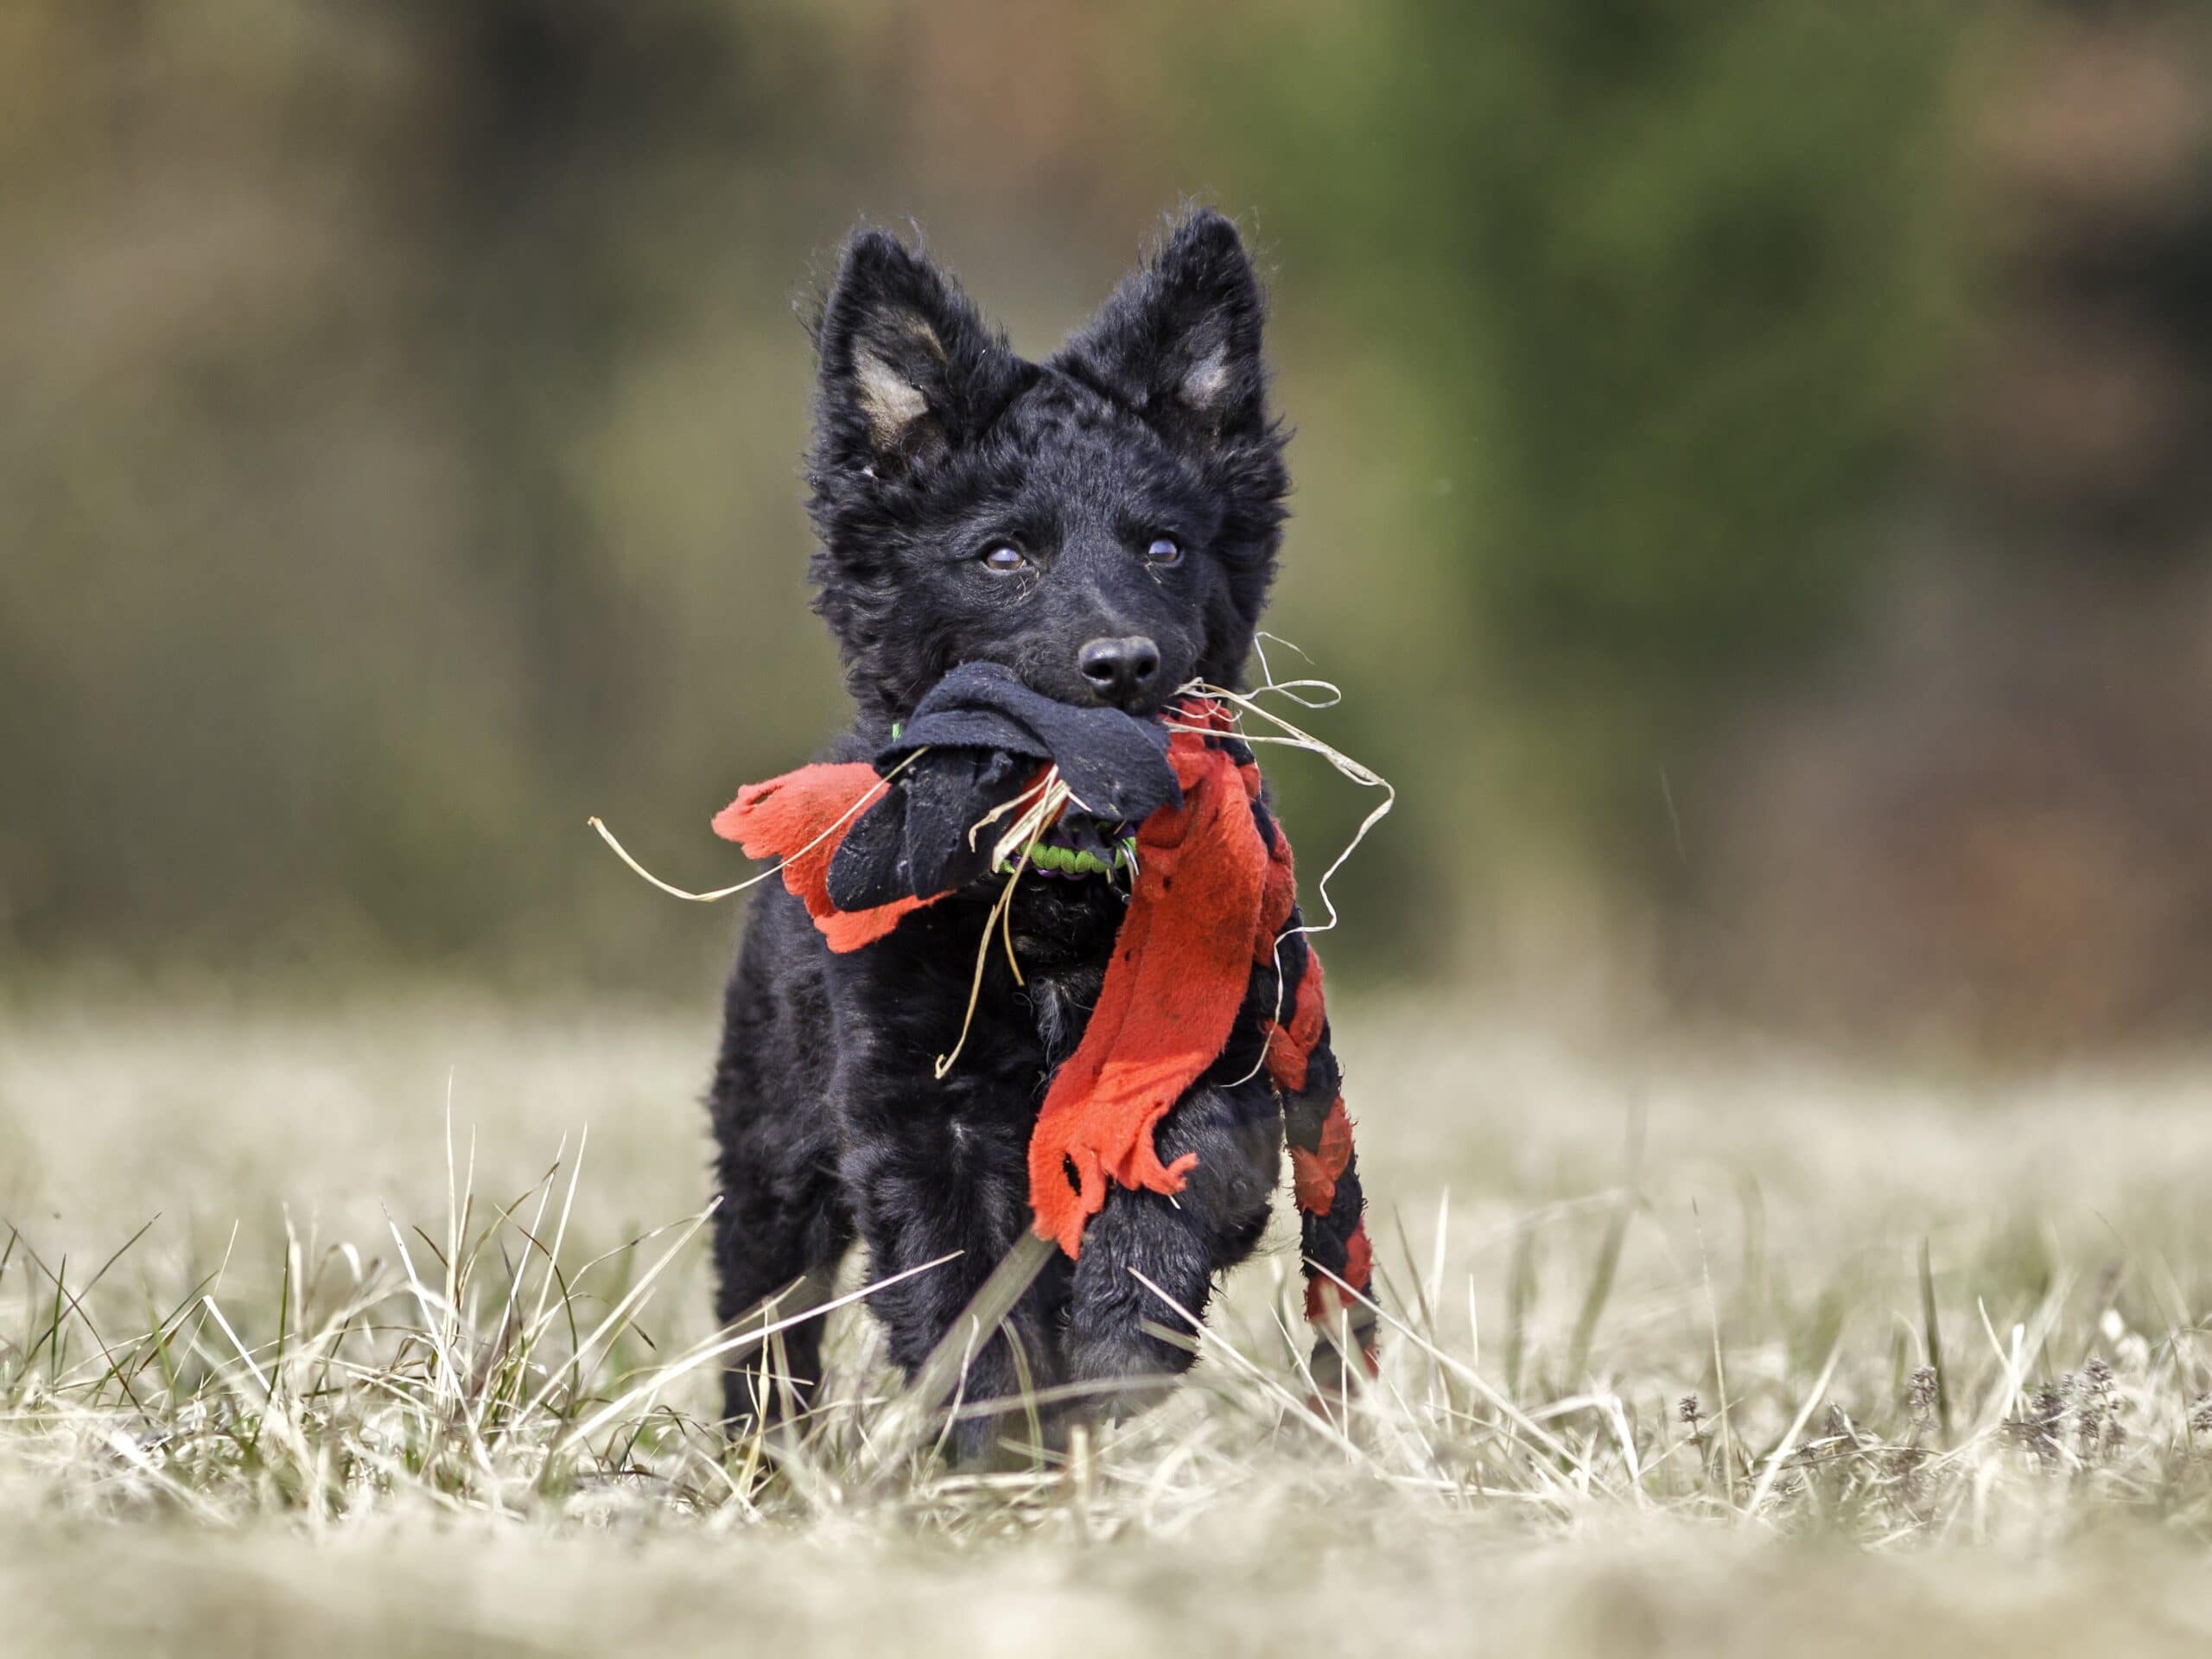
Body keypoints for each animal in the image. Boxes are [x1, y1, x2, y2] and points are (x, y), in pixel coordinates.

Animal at [708, 211, 1362, 1451]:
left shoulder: (1223, 1063)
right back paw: (768, 1458)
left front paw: (1113, 1350)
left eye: (1163, 550)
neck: (1056, 893)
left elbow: (1162, 1200)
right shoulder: (920, 1116)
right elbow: (961, 1307)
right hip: (769, 1151)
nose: (1122, 666)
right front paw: (985, 1450)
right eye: (1004, 555)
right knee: (765, 1319)